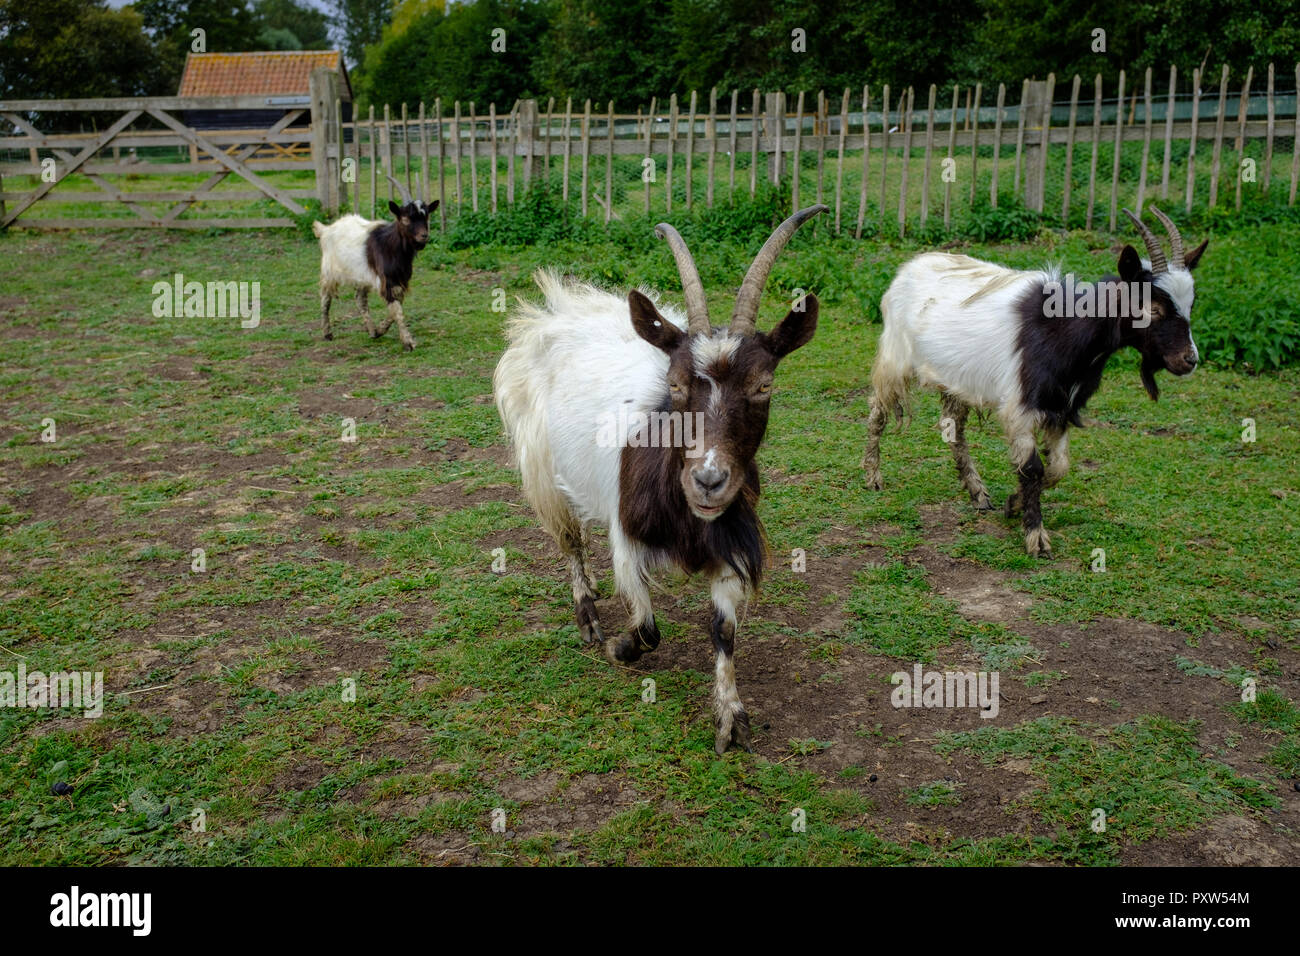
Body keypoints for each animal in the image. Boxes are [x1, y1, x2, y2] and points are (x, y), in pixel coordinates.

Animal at [312, 175, 434, 351]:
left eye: (426, 217)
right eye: (405, 218)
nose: (424, 236)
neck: (391, 246)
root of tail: (326, 230)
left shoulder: (399, 281)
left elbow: (396, 306)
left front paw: (381, 329)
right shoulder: (387, 280)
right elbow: (397, 310)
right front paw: (408, 342)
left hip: (361, 275)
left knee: (360, 299)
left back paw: (372, 330)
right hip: (329, 271)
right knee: (325, 299)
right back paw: (327, 333)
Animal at [491, 204, 826, 754]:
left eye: (764, 385)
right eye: (675, 384)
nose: (708, 481)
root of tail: (559, 308)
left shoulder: (730, 542)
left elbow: (723, 630)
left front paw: (731, 719)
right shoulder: (627, 536)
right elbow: (649, 629)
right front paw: (618, 646)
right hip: (541, 465)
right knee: (569, 539)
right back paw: (587, 616)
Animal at [863, 205, 1206, 556]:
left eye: (1191, 304)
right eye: (1153, 307)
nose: (1189, 360)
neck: (1062, 330)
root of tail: (906, 270)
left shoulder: (1062, 406)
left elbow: (1058, 467)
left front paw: (1013, 504)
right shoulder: (1021, 407)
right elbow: (1033, 468)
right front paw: (1036, 537)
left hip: (958, 378)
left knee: (953, 429)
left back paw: (978, 493)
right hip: (895, 359)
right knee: (878, 409)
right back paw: (873, 477)